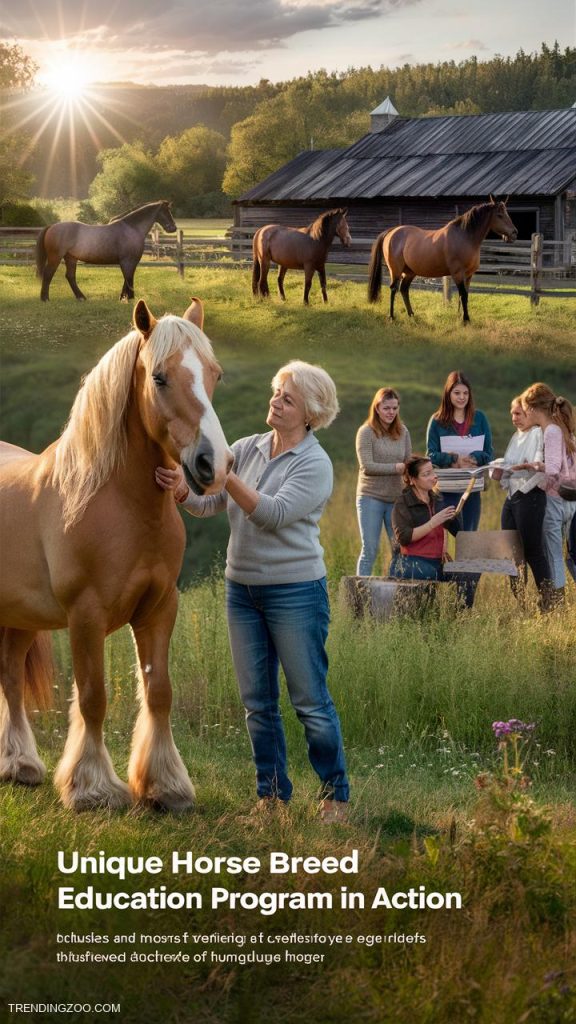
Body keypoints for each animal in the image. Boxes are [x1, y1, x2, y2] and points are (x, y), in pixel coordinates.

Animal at [0, 299, 233, 813]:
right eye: (159, 377)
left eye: (214, 374)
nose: (214, 464)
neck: (115, 500)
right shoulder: (86, 615)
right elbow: (93, 697)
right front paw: (92, 787)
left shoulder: (159, 608)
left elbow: (159, 691)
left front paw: (165, 786)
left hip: (20, 617)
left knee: (9, 679)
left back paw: (19, 764)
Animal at [35, 200, 177, 302]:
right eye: (166, 212)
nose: (173, 228)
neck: (132, 228)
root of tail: (51, 226)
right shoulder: (128, 261)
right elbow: (129, 278)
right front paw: (129, 297)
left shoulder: (129, 262)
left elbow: (127, 278)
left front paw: (124, 297)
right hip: (55, 257)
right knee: (48, 274)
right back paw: (45, 298)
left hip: (71, 258)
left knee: (70, 276)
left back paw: (81, 297)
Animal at [367, 197, 518, 323]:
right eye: (499, 215)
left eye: (507, 213)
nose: (514, 233)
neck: (464, 237)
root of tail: (392, 231)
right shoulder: (457, 274)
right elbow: (463, 295)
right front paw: (465, 319)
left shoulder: (469, 275)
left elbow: (465, 295)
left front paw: (461, 316)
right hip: (396, 270)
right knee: (393, 289)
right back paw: (391, 316)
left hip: (410, 272)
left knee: (404, 289)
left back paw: (412, 315)